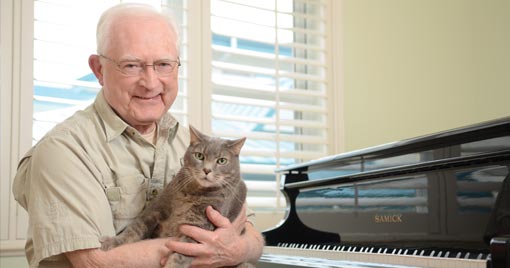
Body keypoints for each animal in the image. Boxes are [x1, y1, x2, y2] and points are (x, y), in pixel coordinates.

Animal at [102, 126, 255, 268]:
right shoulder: (156, 208)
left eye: (222, 161)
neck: (193, 192)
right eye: (199, 156)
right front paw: (112, 242)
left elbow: (180, 256)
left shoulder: (199, 229)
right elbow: (134, 229)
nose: (207, 170)